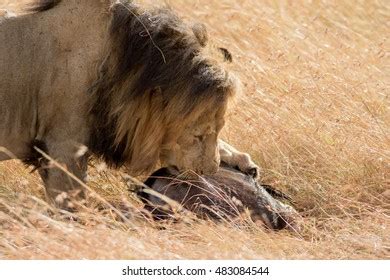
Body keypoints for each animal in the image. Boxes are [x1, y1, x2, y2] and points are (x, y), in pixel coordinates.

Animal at [0, 0, 258, 208]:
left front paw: (243, 161)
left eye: (219, 129)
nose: (209, 172)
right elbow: (71, 201)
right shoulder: (62, 145)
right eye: (198, 135)